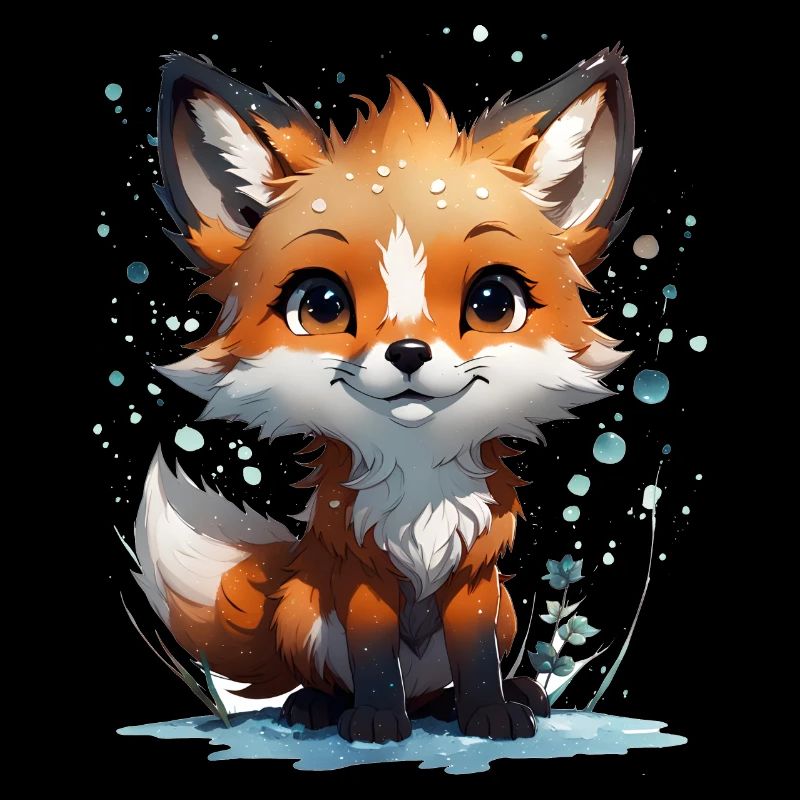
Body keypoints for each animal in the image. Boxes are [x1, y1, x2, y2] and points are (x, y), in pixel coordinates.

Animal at [133, 46, 637, 744]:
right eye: (320, 304)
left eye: (493, 301)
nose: (408, 353)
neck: (419, 484)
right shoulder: (361, 571)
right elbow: (371, 654)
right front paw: (374, 719)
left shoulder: (474, 574)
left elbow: (475, 655)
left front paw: (489, 712)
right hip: (304, 612)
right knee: (330, 676)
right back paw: (317, 707)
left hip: (508, 607)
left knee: (441, 685)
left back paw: (490, 698)